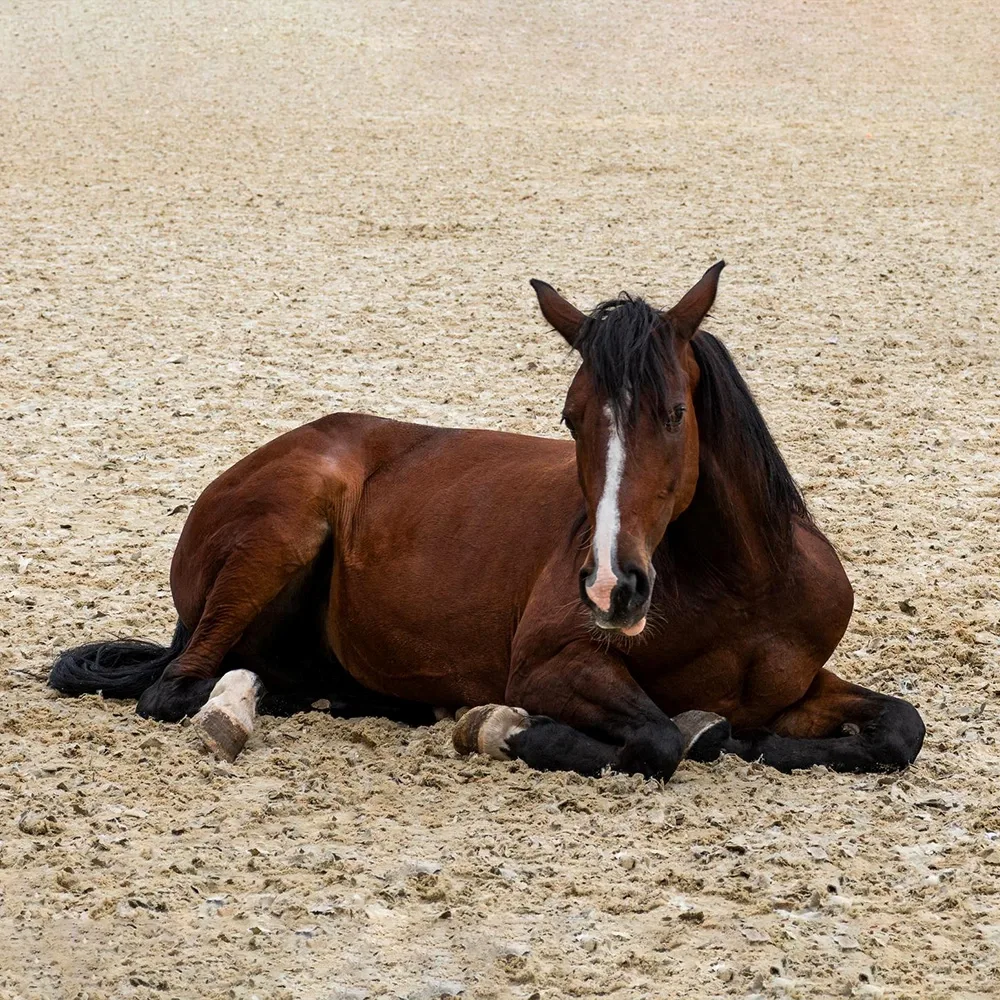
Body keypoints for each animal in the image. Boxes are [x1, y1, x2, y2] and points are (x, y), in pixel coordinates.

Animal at [49, 262, 925, 779]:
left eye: (675, 413)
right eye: (572, 417)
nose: (612, 588)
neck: (742, 588)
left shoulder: (800, 686)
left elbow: (899, 728)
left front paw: (755, 740)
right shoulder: (548, 665)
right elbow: (655, 739)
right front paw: (507, 728)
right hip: (282, 528)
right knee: (178, 686)